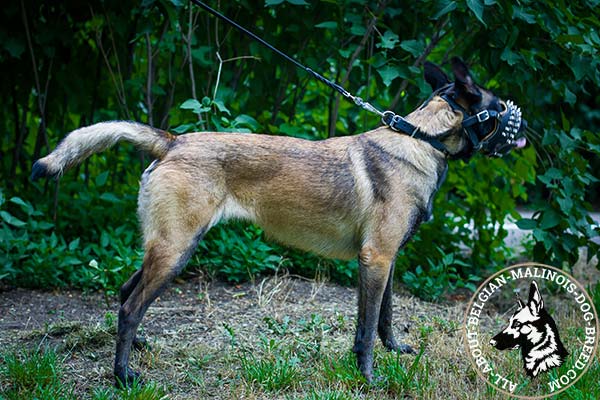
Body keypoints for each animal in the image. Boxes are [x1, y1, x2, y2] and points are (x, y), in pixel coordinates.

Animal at [30, 57, 528, 386]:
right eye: (498, 104)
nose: (524, 131)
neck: (422, 139)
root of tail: (173, 141)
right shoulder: (376, 258)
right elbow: (366, 328)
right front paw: (369, 379)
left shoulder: (385, 260)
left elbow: (382, 318)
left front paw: (394, 352)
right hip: (177, 249)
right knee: (131, 305)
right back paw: (123, 375)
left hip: (167, 247)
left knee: (124, 292)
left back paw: (138, 350)